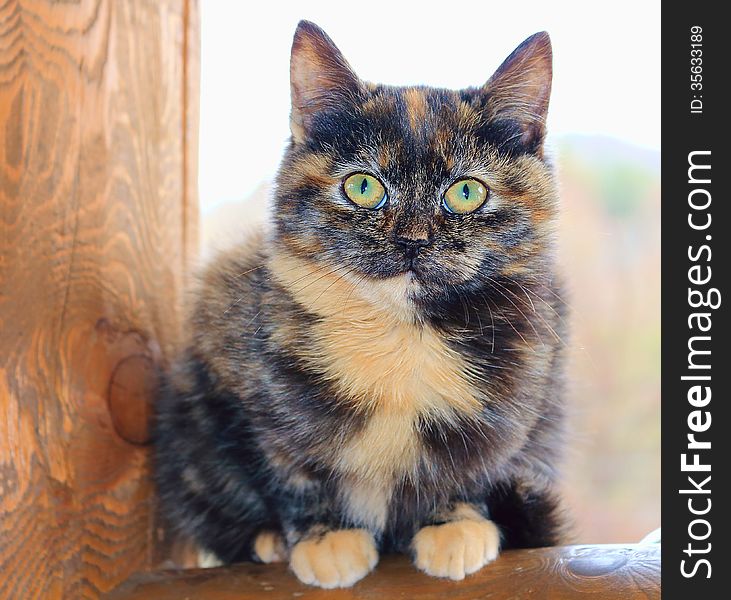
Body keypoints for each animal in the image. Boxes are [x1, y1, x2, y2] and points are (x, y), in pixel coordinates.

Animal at [153, 19, 568, 592]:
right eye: (364, 186)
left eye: (466, 192)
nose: (413, 241)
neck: (401, 332)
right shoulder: (236, 367)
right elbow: (286, 465)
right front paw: (324, 536)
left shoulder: (524, 392)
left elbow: (480, 463)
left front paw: (455, 522)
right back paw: (267, 543)